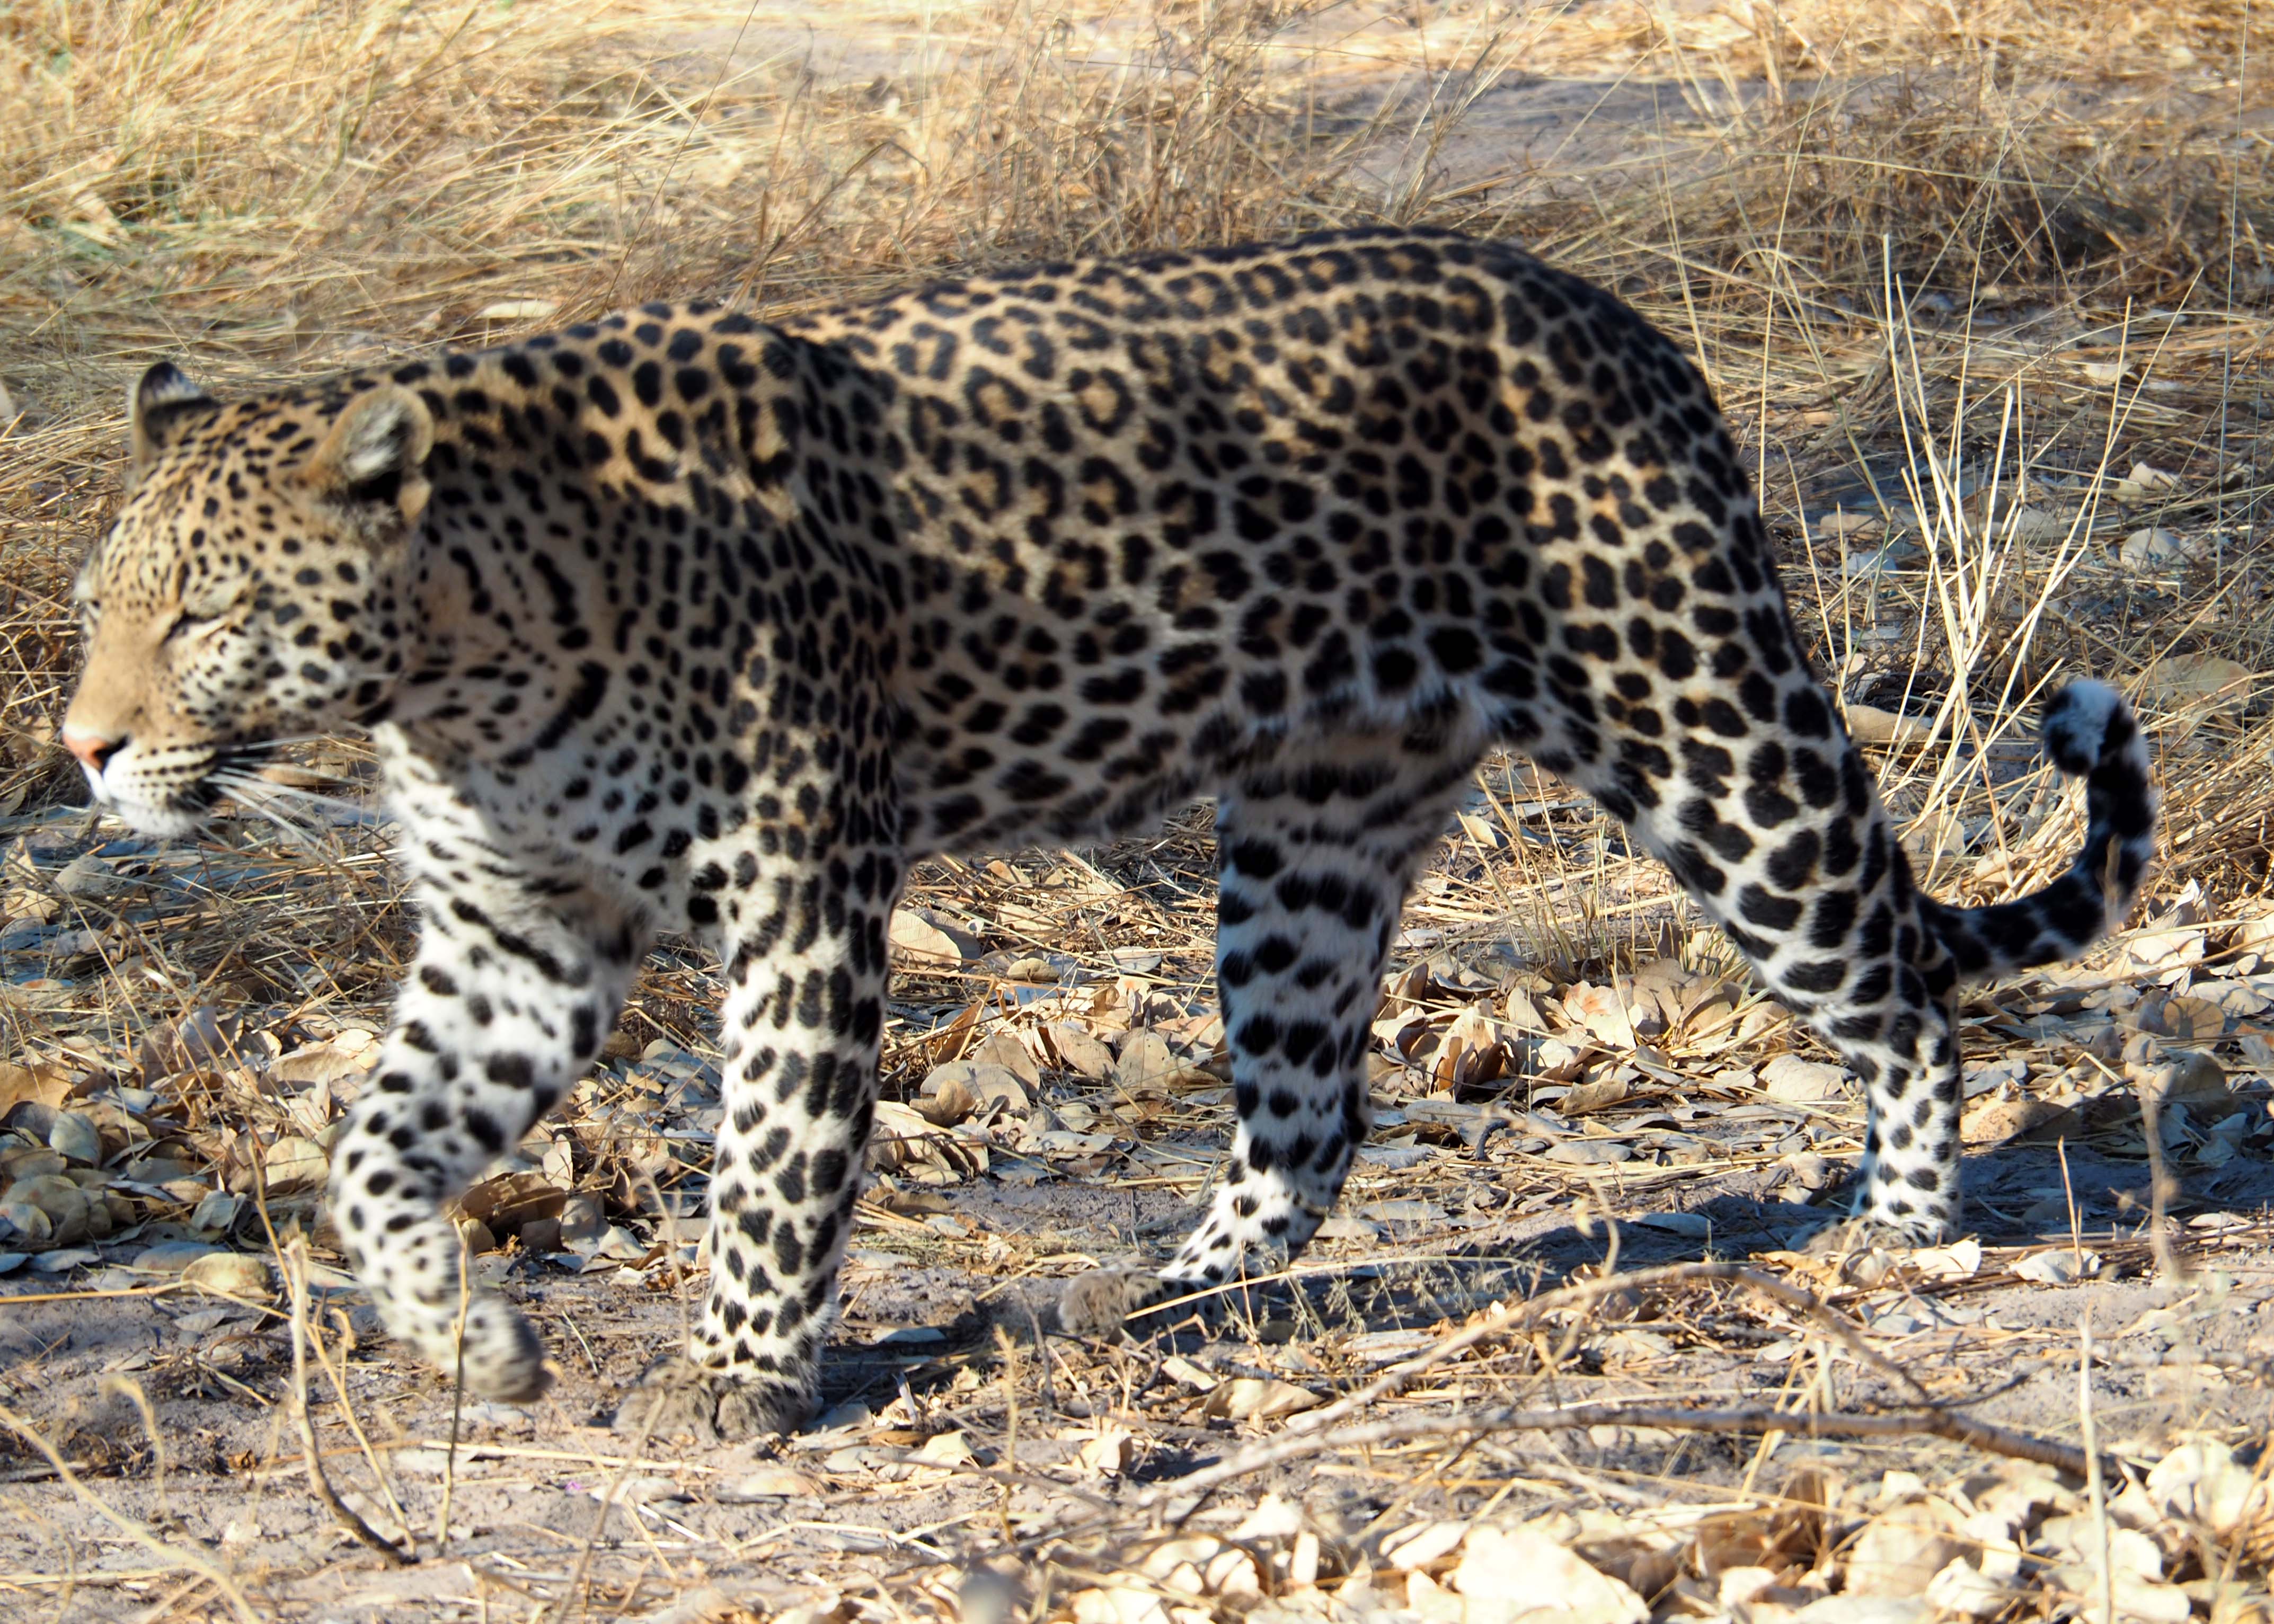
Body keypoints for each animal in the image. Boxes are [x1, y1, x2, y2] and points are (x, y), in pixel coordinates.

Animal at [61, 227, 2155, 1442]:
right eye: (96, 606)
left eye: (201, 613)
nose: (79, 749)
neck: (464, 666)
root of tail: (1621, 323)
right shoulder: (519, 937)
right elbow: (371, 1150)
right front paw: (466, 1342)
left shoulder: (803, 901)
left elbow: (773, 1165)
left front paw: (739, 1375)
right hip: (1311, 832)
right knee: (1310, 1117)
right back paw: (1158, 1292)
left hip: (1698, 725)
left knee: (1899, 983)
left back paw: (1898, 1230)